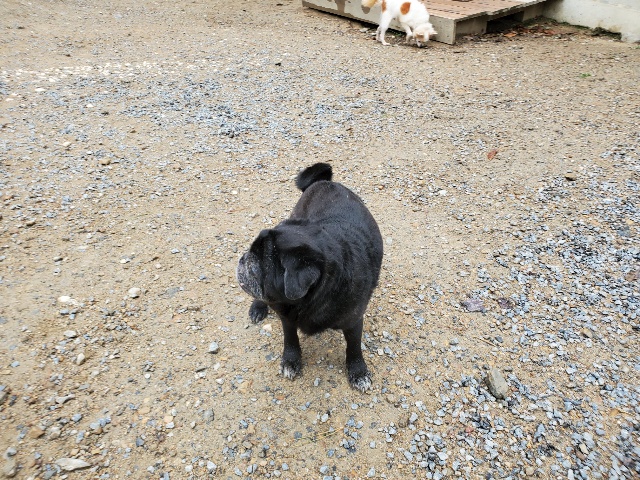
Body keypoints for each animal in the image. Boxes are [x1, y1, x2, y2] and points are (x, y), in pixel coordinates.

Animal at [236, 163, 383, 392]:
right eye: (251, 258)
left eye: (257, 268)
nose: (243, 259)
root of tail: (324, 182)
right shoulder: (286, 317)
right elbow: (290, 339)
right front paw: (291, 360)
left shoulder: (353, 321)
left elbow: (354, 348)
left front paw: (358, 372)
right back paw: (258, 307)